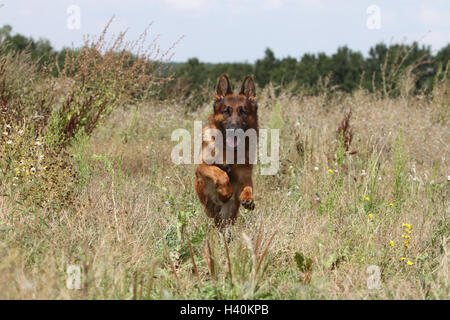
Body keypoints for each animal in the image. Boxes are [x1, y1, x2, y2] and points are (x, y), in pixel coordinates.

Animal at [195, 74, 258, 229]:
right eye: (226, 111)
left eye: (243, 111)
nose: (234, 129)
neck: (229, 151)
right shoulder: (202, 166)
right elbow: (221, 174)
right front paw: (226, 192)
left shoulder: (245, 174)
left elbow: (248, 186)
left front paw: (248, 198)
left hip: (229, 215)